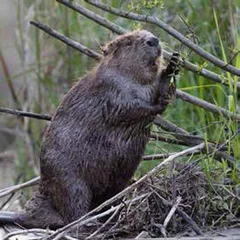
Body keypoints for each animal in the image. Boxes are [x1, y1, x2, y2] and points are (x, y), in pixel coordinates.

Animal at [0, 30, 180, 229]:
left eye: (149, 33)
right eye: (128, 42)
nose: (153, 40)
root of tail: (27, 214)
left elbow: (159, 87)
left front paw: (172, 65)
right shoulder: (111, 88)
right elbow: (123, 109)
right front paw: (158, 104)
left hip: (118, 183)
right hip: (71, 182)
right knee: (73, 211)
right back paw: (89, 223)